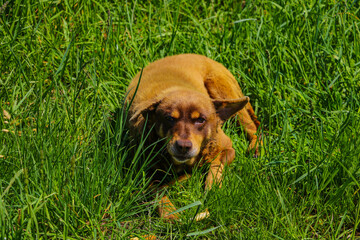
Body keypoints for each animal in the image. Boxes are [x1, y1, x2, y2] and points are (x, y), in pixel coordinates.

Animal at [125, 54, 260, 219]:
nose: (183, 146)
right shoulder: (142, 171)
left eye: (201, 119)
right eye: (169, 118)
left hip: (223, 91)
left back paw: (255, 148)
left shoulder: (227, 148)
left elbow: (215, 167)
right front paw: (170, 212)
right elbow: (156, 190)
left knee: (252, 127)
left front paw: (211, 188)